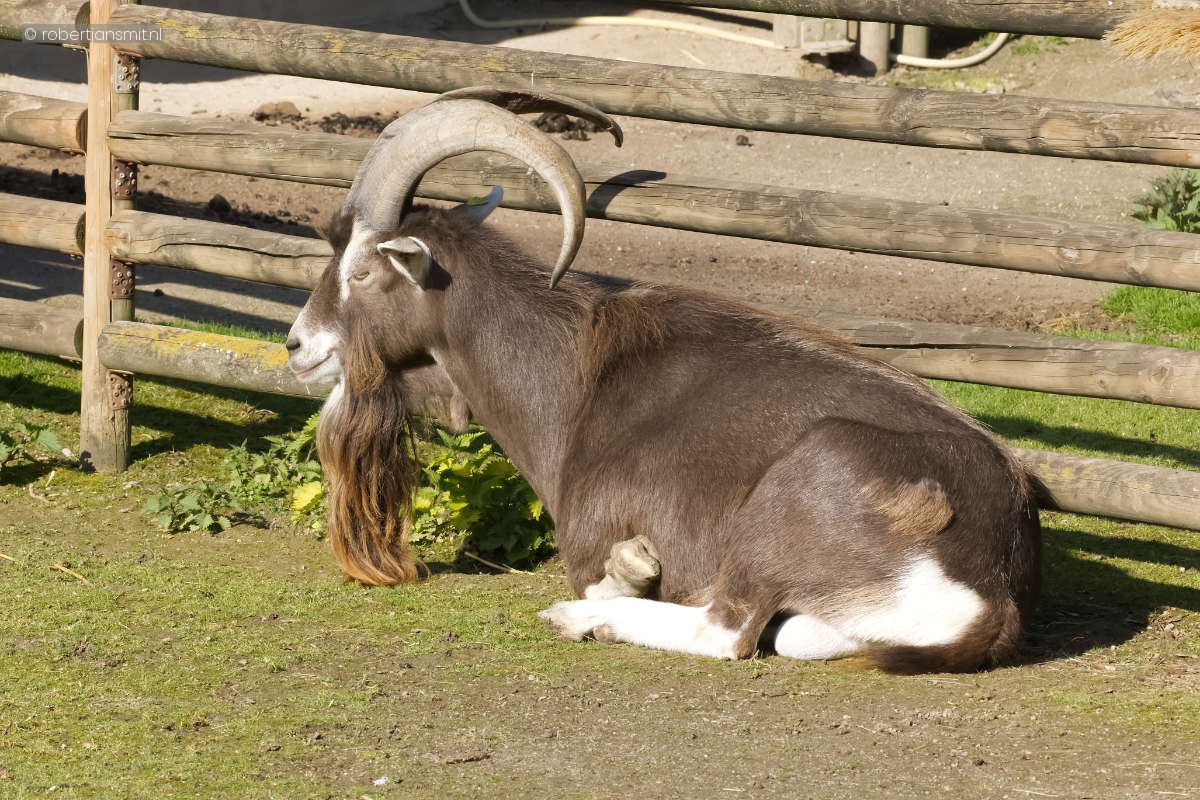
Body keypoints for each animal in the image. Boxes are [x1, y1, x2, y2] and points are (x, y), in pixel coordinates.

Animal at [285, 87, 1041, 673]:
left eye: (361, 271)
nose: (298, 346)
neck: (574, 381)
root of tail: (988, 579)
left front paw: (632, 569)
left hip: (797, 492)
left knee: (729, 631)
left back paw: (580, 616)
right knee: (794, 634)